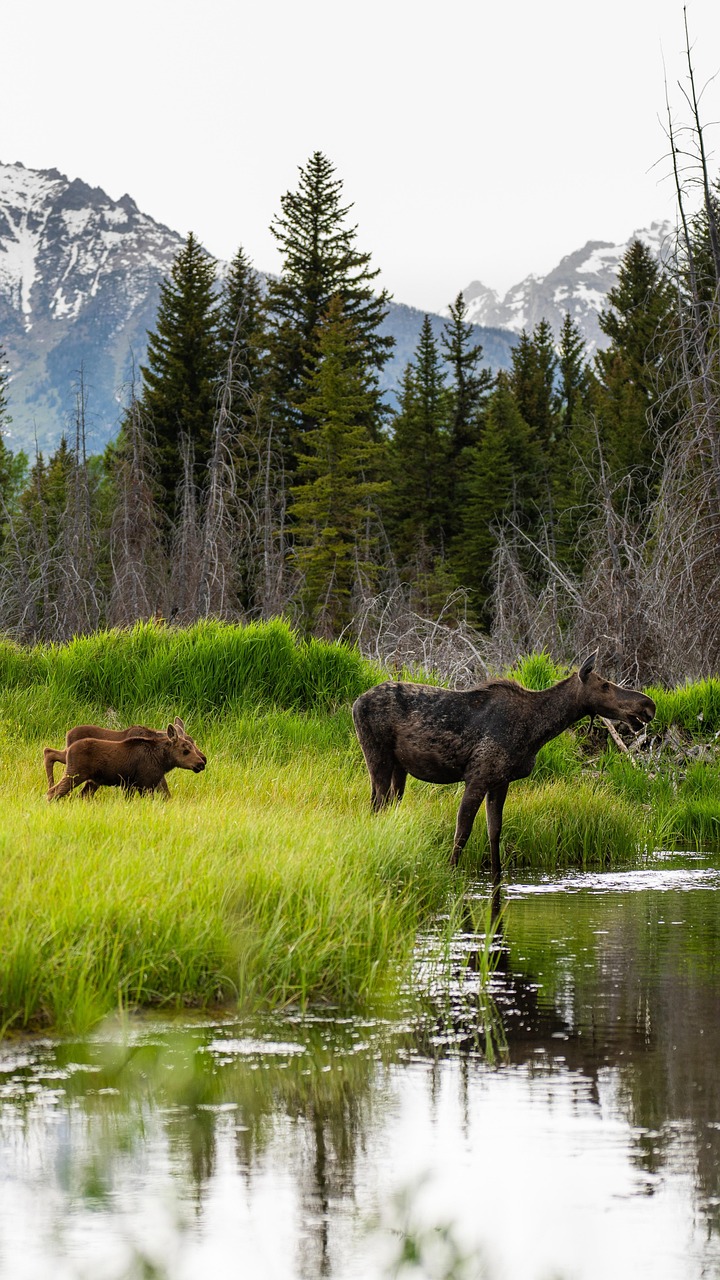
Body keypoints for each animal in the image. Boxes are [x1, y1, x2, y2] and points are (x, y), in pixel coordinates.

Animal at [352, 652, 656, 875]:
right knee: (376, 805)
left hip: (398, 769)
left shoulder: (500, 781)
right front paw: (451, 872)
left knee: (385, 806)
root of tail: (355, 703)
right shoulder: (478, 776)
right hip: (376, 756)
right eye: (604, 685)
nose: (648, 705)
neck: (535, 732)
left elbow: (494, 832)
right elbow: (462, 832)